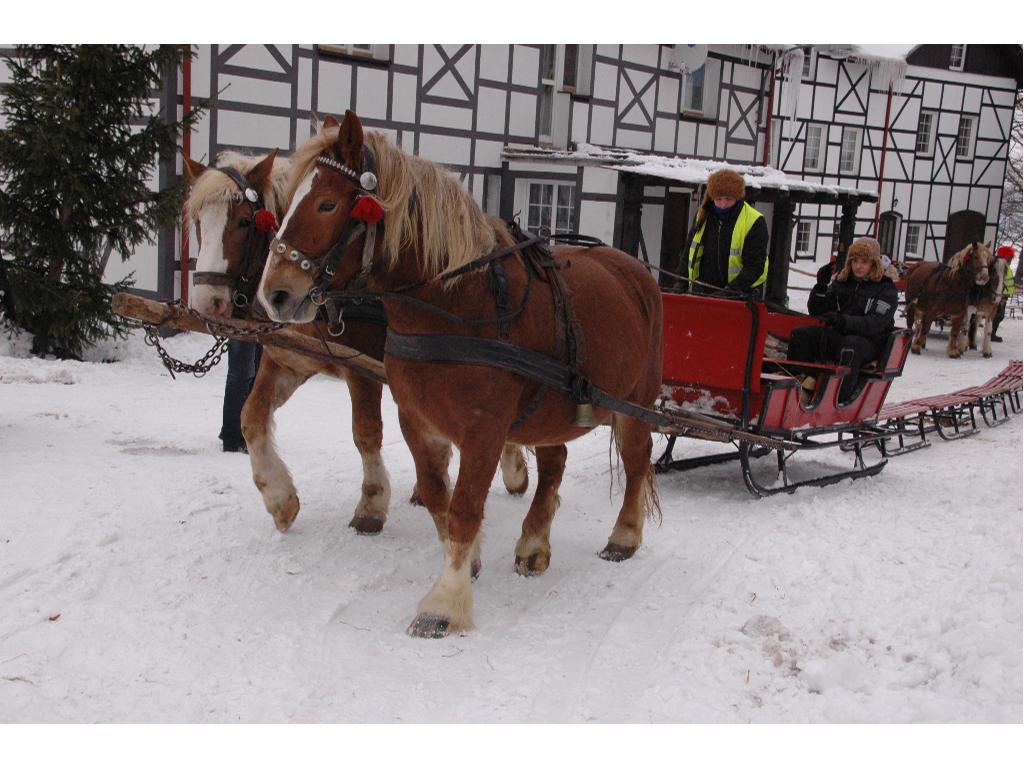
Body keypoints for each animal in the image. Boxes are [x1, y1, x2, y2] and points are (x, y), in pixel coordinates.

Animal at [251, 111, 659, 638]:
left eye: (326, 203)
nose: (275, 295)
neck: (459, 304)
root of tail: (636, 269)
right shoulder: (416, 420)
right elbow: (436, 494)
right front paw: (469, 561)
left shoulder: (485, 429)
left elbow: (464, 506)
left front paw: (444, 603)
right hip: (552, 410)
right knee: (555, 464)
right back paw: (534, 542)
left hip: (636, 405)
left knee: (636, 462)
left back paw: (624, 536)